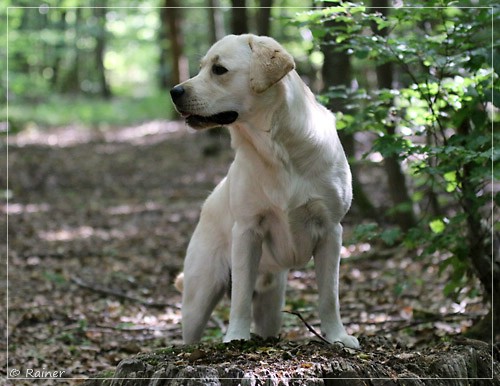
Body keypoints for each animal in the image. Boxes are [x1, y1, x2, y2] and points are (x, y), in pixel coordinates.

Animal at [170, 34, 358, 348]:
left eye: (219, 69)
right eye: (201, 67)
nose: (174, 91)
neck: (276, 149)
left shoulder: (332, 230)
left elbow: (329, 296)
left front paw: (337, 336)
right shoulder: (248, 229)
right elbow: (240, 298)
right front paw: (236, 336)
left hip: (271, 304)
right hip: (199, 295)